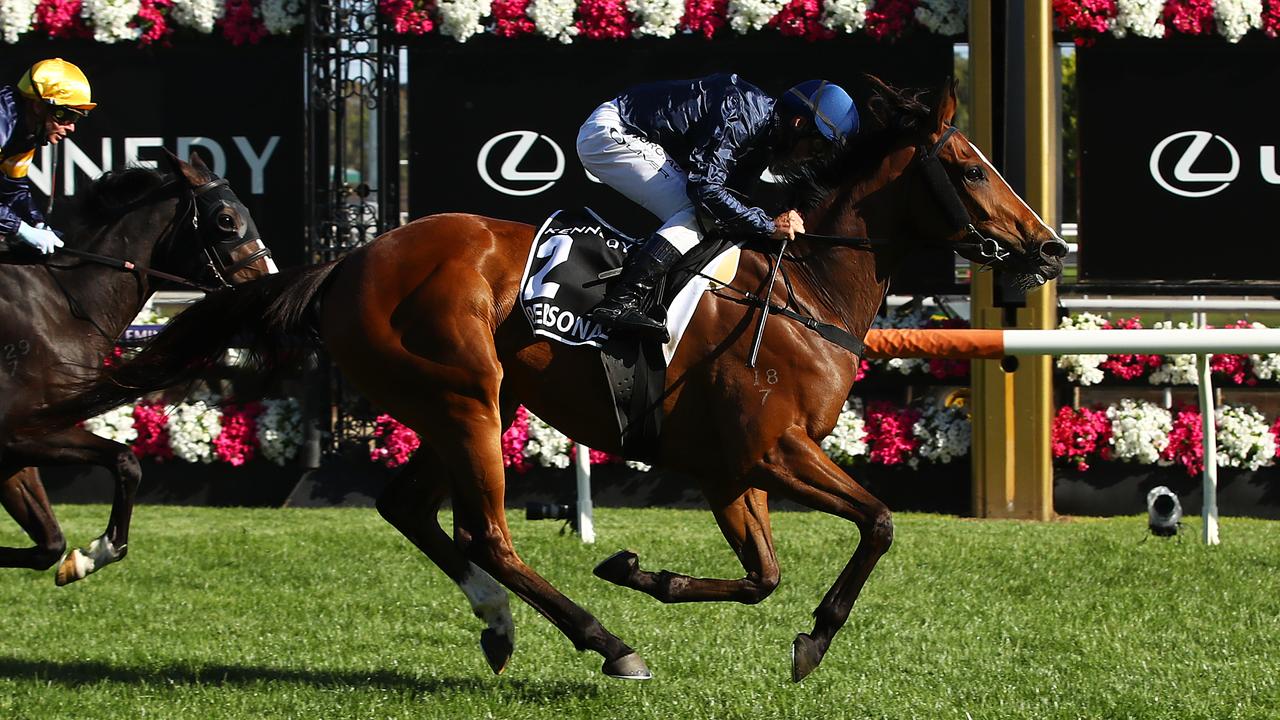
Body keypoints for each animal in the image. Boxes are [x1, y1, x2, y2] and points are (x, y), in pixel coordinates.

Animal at [3, 152, 275, 584]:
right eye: (226, 219)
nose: (267, 285)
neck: (61, 307)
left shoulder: (17, 449)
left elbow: (50, 545)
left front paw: (80, 559)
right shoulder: (20, 434)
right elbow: (127, 461)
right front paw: (96, 552)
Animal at [32, 79, 1070, 676]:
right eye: (969, 168)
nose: (1049, 247)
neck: (803, 284)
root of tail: (355, 256)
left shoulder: (733, 470)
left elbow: (763, 575)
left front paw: (640, 568)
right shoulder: (773, 451)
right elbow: (880, 523)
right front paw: (811, 640)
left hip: (452, 405)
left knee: (412, 510)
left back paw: (503, 627)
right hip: (464, 398)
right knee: (484, 532)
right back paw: (607, 645)